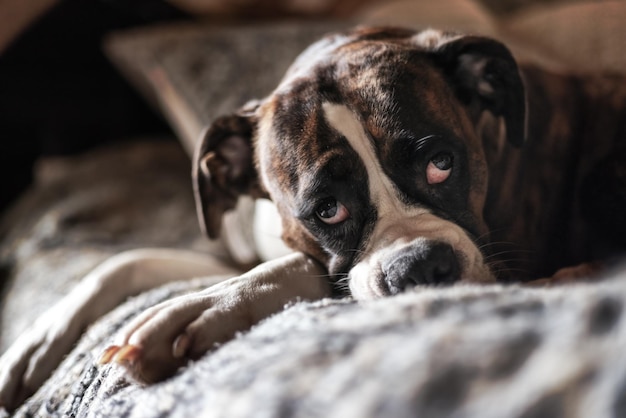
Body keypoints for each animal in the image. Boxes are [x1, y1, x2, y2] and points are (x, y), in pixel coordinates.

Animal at [1, 27, 624, 412]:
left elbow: (299, 270)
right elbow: (126, 261)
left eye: (442, 163)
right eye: (328, 210)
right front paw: (31, 348)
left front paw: (198, 311)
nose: (420, 265)